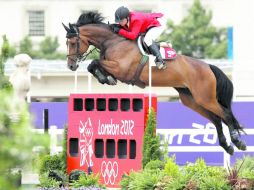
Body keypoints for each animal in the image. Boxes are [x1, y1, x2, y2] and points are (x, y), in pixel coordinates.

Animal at [63, 11, 246, 154]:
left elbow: (94, 63)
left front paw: (105, 78)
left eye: (72, 42)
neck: (113, 41)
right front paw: (106, 78)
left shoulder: (122, 69)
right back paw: (227, 146)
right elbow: (93, 66)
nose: (71, 66)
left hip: (205, 97)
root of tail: (207, 66)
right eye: (66, 43)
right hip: (192, 100)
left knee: (225, 114)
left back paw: (238, 142)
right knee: (216, 119)